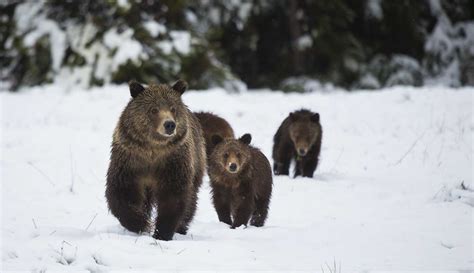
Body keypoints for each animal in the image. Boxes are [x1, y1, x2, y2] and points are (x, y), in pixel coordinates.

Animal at [105, 79, 206, 240]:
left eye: (173, 108)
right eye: (153, 109)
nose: (169, 124)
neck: (152, 150)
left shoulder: (173, 162)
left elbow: (173, 197)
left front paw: (162, 232)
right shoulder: (130, 161)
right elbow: (122, 193)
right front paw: (140, 223)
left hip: (197, 160)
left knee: (191, 199)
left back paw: (182, 227)